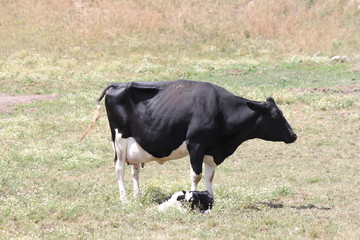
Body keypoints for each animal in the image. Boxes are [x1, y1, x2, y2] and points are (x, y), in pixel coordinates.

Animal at [82, 79, 298, 202]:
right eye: (276, 115)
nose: (293, 135)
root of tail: (117, 85)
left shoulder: (211, 150)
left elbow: (210, 176)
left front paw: (210, 198)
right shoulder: (196, 145)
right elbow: (196, 175)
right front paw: (193, 199)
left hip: (135, 145)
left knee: (135, 170)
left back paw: (137, 195)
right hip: (119, 141)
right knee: (119, 169)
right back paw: (124, 198)